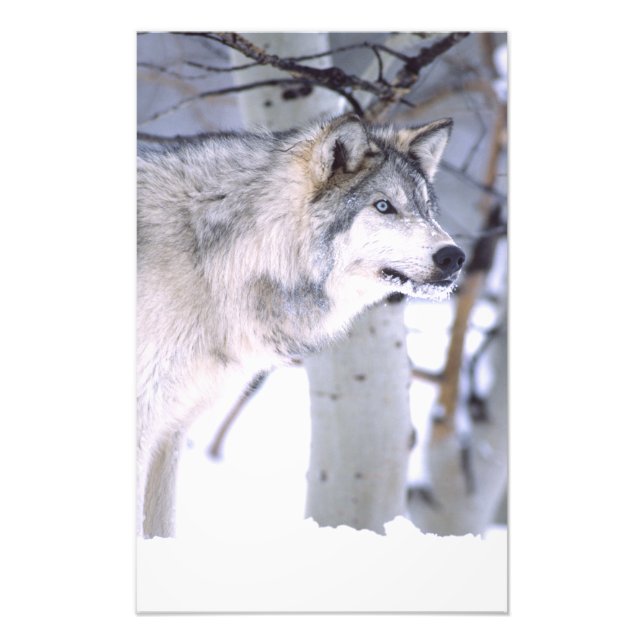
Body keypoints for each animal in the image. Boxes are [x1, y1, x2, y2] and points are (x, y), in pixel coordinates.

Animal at [137, 114, 465, 538]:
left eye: (426, 210)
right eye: (383, 206)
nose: (454, 257)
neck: (211, 261)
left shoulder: (171, 431)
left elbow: (160, 527)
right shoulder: (144, 423)